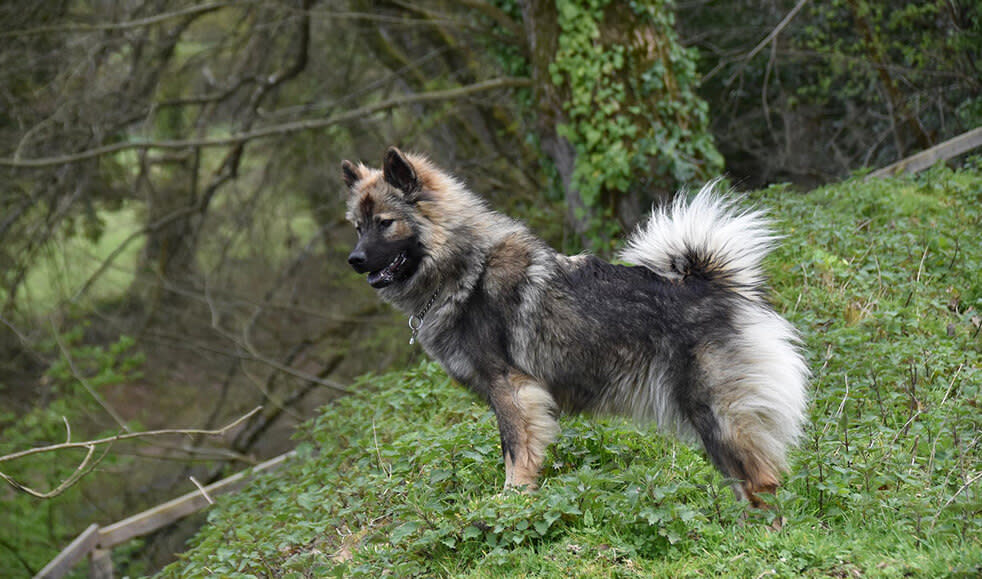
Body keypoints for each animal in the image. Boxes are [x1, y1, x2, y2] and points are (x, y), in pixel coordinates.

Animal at [342, 150, 812, 512]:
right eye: (357, 227)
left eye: (385, 222)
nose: (354, 260)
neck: (462, 267)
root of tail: (709, 282)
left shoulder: (510, 388)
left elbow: (516, 451)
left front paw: (512, 500)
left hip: (715, 412)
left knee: (761, 480)